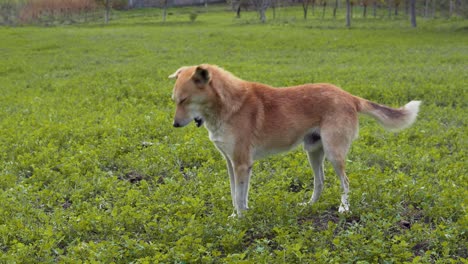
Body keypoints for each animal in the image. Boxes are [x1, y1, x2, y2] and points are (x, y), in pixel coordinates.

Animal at [168, 64, 420, 217]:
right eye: (175, 100)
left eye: (185, 100)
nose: (175, 125)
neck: (226, 106)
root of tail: (348, 96)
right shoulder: (232, 164)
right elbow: (237, 194)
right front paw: (239, 214)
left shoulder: (241, 163)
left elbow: (238, 195)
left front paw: (239, 218)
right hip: (313, 151)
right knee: (320, 182)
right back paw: (310, 205)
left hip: (334, 152)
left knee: (345, 182)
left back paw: (343, 208)